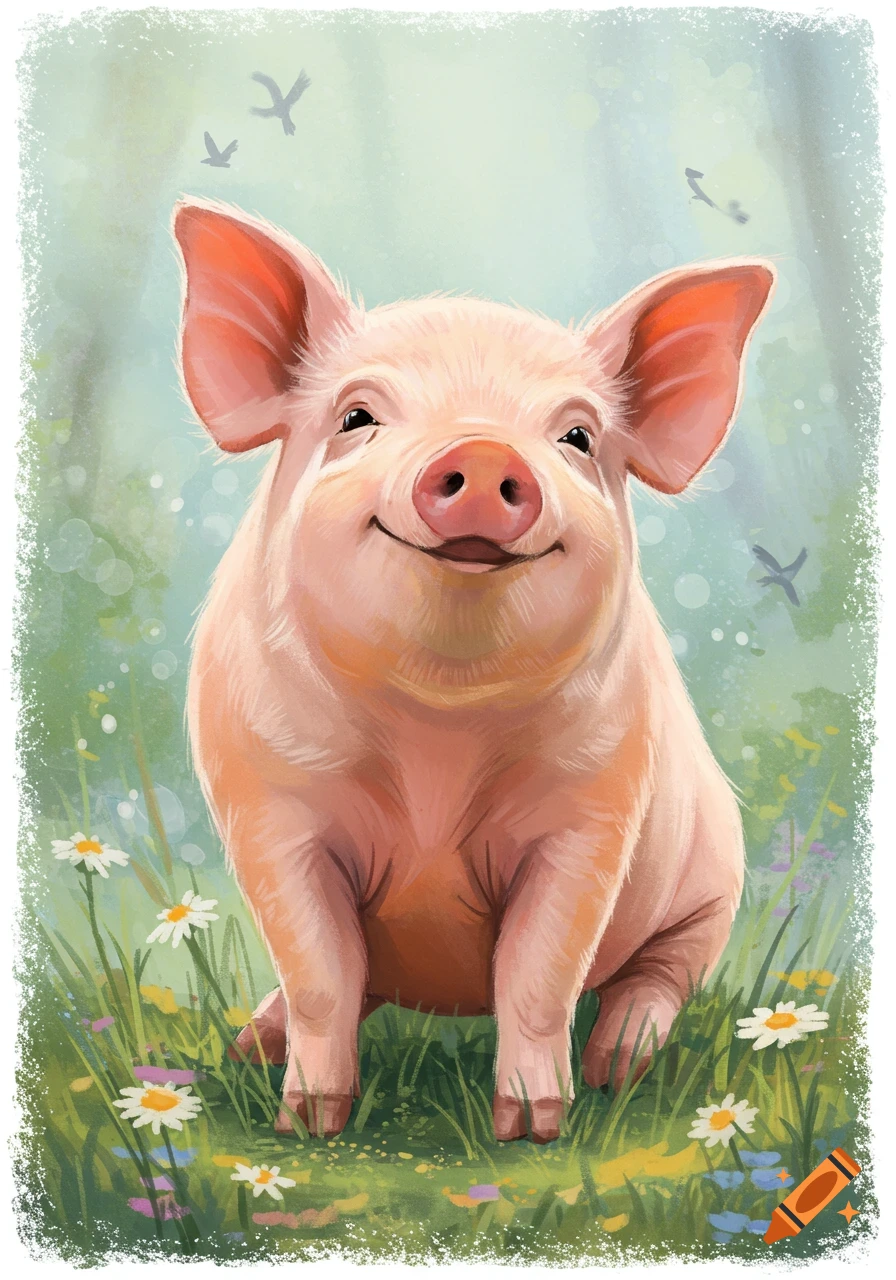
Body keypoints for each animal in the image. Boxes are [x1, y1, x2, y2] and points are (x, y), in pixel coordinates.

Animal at [173, 197, 775, 1143]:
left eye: (576, 435)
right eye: (357, 417)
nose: (488, 453)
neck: (437, 737)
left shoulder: (591, 816)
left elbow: (537, 975)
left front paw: (532, 1130)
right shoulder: (269, 812)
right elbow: (320, 974)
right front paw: (309, 1125)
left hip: (713, 876)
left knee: (660, 975)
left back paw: (617, 1067)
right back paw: (246, 1048)